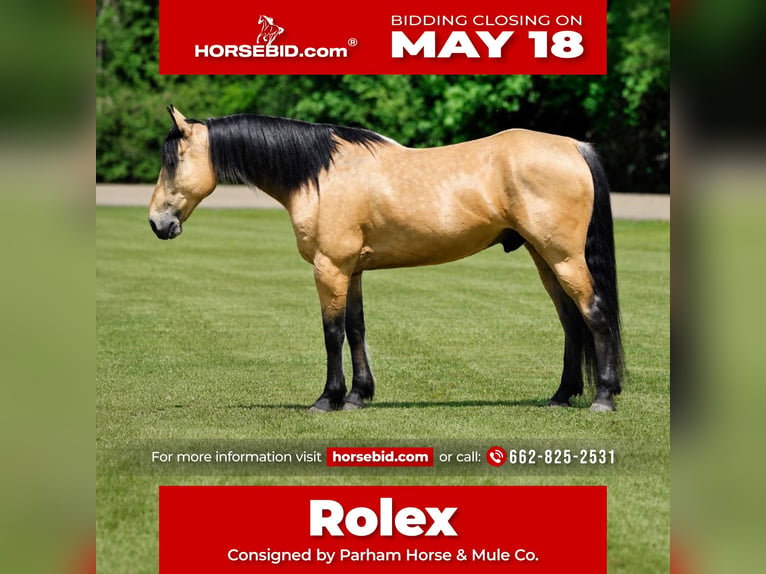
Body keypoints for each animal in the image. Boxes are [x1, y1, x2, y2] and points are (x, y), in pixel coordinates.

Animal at [149, 106, 624, 412]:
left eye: (173, 161)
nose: (157, 222)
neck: (320, 174)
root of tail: (574, 147)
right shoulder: (352, 270)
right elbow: (356, 329)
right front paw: (358, 396)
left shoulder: (330, 267)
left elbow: (332, 332)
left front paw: (328, 398)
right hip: (545, 258)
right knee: (571, 321)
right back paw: (561, 395)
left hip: (563, 257)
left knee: (594, 314)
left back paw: (602, 397)